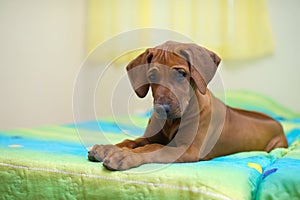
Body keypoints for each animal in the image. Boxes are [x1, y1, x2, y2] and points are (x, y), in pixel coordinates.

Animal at [87, 40, 288, 170]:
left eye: (181, 74)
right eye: (152, 76)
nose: (162, 110)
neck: (172, 121)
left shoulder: (187, 150)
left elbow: (154, 148)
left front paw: (124, 156)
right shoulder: (151, 137)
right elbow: (133, 141)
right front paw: (109, 148)